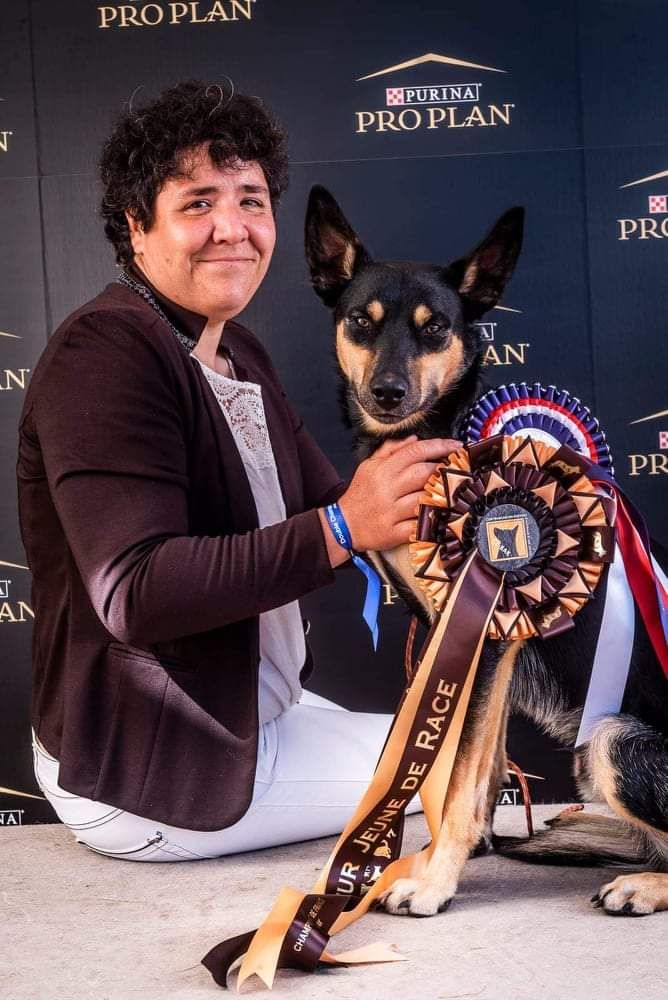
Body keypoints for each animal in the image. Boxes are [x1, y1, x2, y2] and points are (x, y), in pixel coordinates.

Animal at [305, 185, 668, 918]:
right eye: (361, 320)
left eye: (435, 327)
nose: (387, 393)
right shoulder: (453, 636)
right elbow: (466, 769)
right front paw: (439, 860)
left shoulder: (487, 633)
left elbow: (461, 768)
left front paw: (435, 879)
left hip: (612, 740)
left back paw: (640, 883)